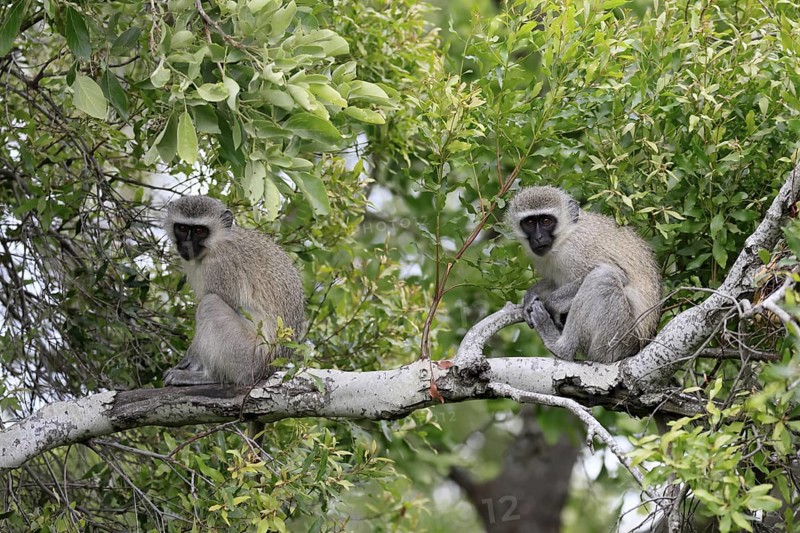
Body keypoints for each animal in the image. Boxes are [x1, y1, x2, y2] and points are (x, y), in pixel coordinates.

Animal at [162, 195, 306, 386]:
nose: (186, 245)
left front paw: (192, 358)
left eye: (199, 230)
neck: (216, 243)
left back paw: (210, 377)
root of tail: (266, 371)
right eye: (182, 228)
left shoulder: (221, 267)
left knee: (210, 304)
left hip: (247, 358)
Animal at [505, 186, 661, 363]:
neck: (565, 237)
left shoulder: (577, 251)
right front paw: (532, 294)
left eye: (546, 221)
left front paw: (551, 303)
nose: (538, 237)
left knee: (603, 277)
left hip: (618, 341)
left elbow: (618, 274)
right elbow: (555, 281)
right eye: (529, 222)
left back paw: (560, 347)